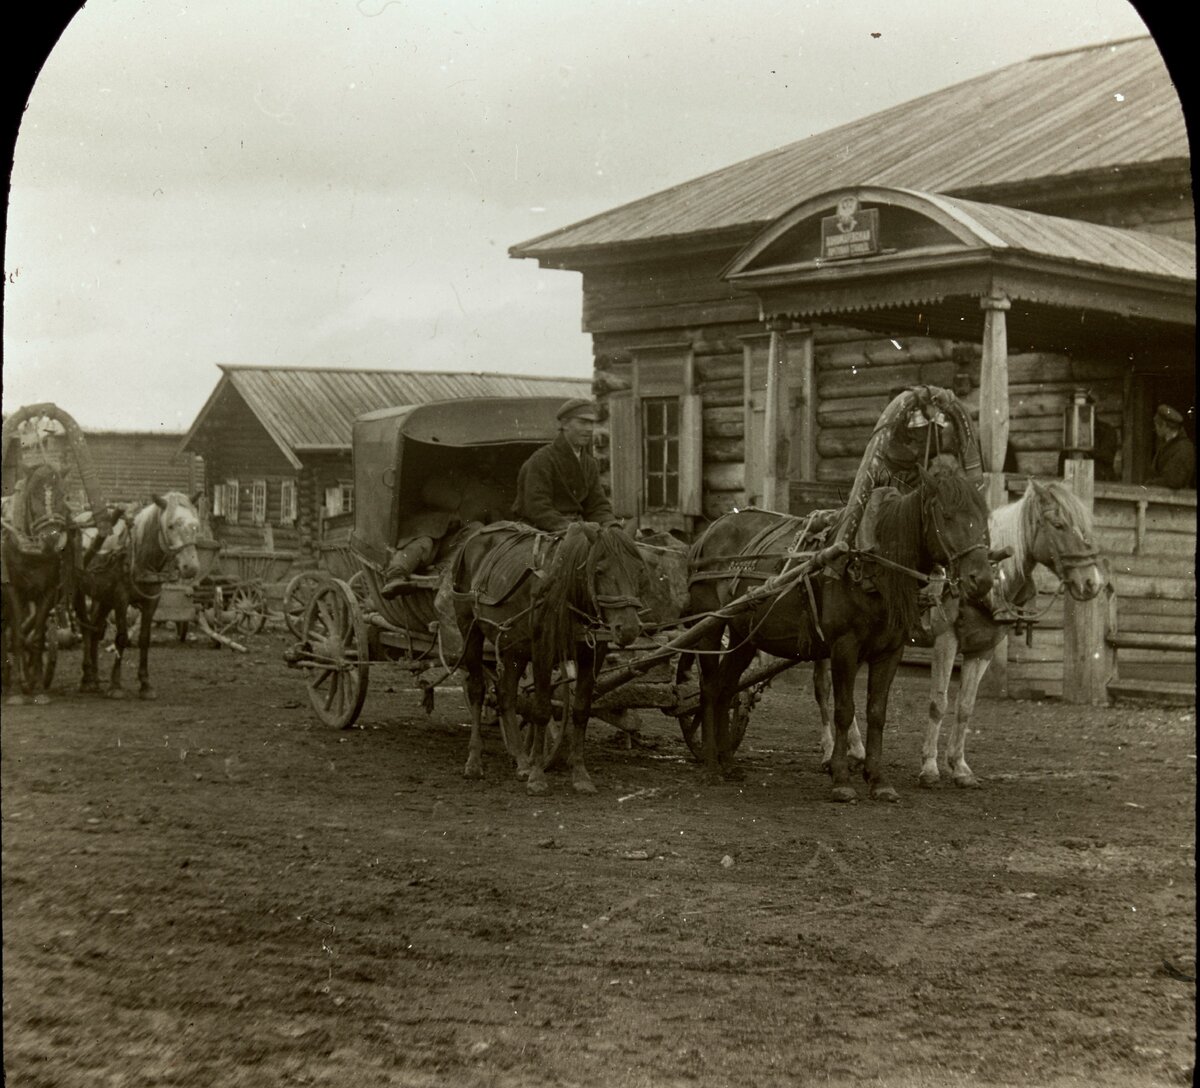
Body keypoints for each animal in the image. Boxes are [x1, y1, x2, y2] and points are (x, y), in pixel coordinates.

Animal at [0, 460, 72, 705]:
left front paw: (38, 685)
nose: (51, 538)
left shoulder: (47, 591)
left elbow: (37, 636)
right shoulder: (12, 590)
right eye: (33, 495)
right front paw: (18, 689)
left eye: (62, 494)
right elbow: (17, 635)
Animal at [75, 491, 199, 700]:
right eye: (170, 525)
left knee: (95, 629)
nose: (190, 567)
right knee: (86, 628)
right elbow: (122, 638)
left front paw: (145, 684)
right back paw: (86, 678)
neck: (138, 556)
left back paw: (95, 678)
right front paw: (116, 685)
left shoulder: (152, 601)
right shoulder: (121, 599)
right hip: (80, 592)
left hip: (103, 597)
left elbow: (144, 639)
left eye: (196, 524)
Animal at [451, 523, 648, 796]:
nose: (628, 628)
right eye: (598, 570)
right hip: (470, 630)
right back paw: (474, 761)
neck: (565, 592)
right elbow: (542, 711)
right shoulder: (542, 649)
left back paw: (521, 760)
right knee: (478, 691)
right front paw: (537, 777)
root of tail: (475, 536)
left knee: (506, 696)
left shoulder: (592, 654)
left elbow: (581, 711)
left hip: (514, 647)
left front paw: (580, 775)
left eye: (639, 570)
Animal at [686, 463, 993, 806]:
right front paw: (842, 779)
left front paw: (878, 780)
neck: (871, 565)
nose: (982, 580)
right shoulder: (845, 646)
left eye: (983, 517)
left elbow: (877, 712)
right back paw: (711, 766)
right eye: (947, 515)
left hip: (745, 636)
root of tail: (712, 530)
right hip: (711, 627)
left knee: (726, 689)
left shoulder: (891, 650)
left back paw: (728, 763)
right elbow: (845, 711)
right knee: (710, 688)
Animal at [816, 479, 1104, 786]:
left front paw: (960, 767)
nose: (1092, 583)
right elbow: (938, 703)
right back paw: (830, 753)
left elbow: (965, 706)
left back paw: (856, 751)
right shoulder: (946, 641)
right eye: (1058, 525)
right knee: (824, 688)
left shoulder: (983, 650)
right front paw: (930, 767)